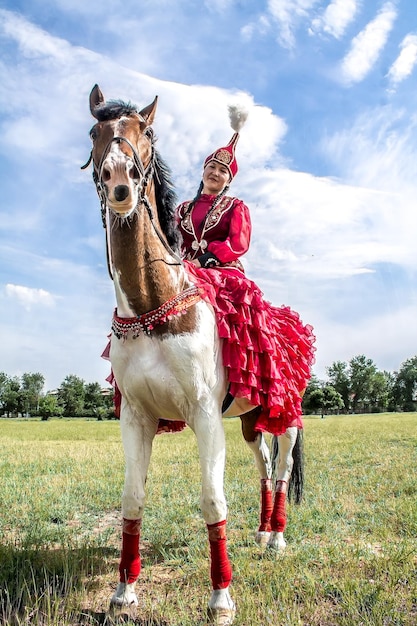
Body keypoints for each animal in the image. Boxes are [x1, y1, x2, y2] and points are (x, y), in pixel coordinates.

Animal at [82, 84, 302, 624]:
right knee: (262, 464)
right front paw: (124, 591)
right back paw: (261, 531)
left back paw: (277, 538)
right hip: (251, 417)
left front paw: (221, 597)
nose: (119, 183)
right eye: (95, 130)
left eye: (146, 131)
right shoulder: (136, 415)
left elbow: (213, 501)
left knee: (282, 469)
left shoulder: (204, 413)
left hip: (286, 413)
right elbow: (132, 499)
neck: (153, 305)